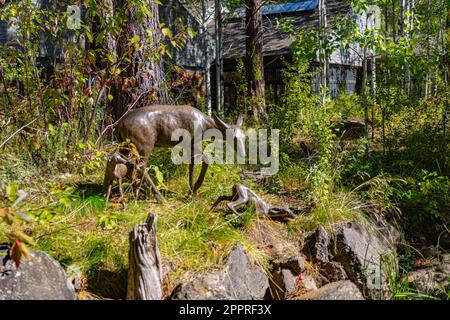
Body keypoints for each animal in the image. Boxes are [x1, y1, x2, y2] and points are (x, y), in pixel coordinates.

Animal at [113, 106, 246, 204]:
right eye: (233, 138)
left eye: (244, 136)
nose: (243, 154)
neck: (204, 126)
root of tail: (119, 125)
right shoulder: (190, 141)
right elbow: (206, 159)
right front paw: (195, 187)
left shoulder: (188, 145)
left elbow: (191, 165)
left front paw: (191, 191)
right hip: (145, 144)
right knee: (141, 167)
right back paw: (159, 197)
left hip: (124, 144)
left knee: (122, 163)